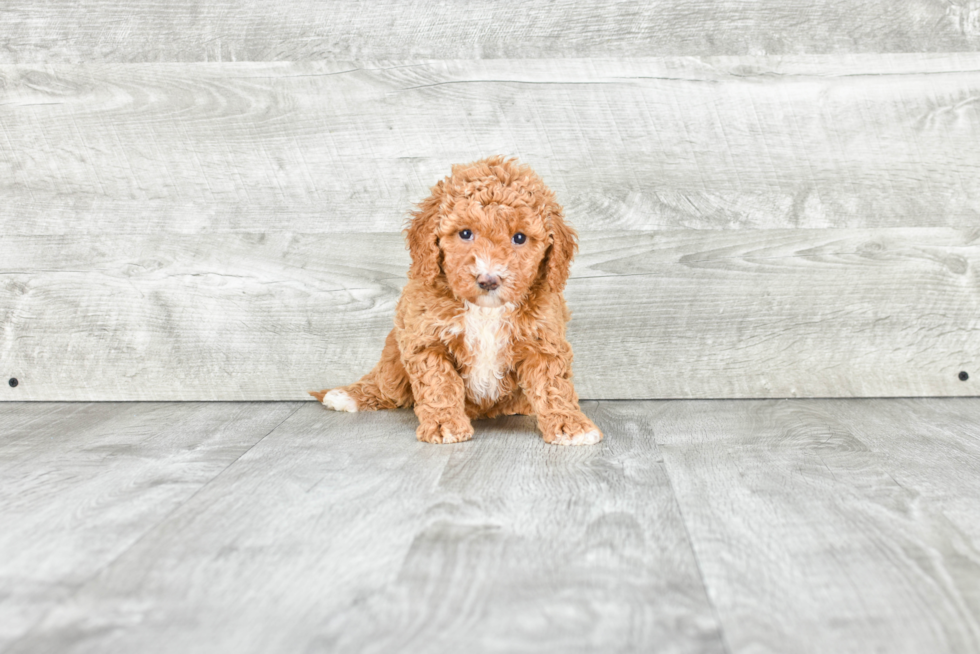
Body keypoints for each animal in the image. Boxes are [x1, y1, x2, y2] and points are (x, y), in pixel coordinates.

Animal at [314, 156, 600, 448]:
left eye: (519, 237)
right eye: (465, 234)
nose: (488, 280)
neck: (486, 310)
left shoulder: (543, 342)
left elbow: (553, 386)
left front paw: (570, 425)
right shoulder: (426, 340)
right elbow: (440, 385)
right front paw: (445, 425)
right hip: (394, 355)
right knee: (387, 386)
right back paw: (346, 396)